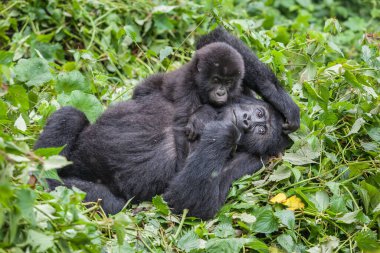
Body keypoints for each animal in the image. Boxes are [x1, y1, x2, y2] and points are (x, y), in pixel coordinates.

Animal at [132, 42, 245, 170]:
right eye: (215, 80)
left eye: (228, 82)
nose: (221, 93)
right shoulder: (186, 83)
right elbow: (183, 123)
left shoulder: (236, 91)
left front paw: (201, 116)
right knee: (145, 88)